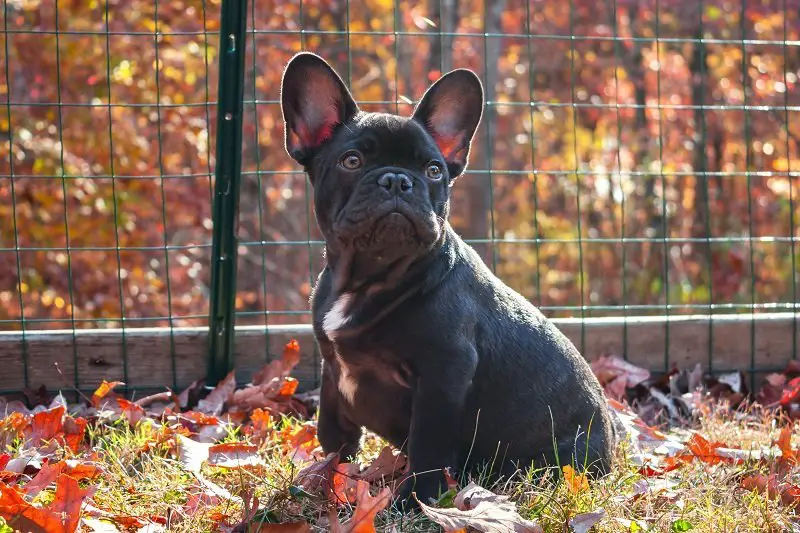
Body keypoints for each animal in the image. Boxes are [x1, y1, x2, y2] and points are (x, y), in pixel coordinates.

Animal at [278, 52, 616, 510]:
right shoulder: (332, 370)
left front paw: (414, 501)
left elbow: (428, 445)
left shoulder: (442, 374)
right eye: (352, 161)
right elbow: (333, 434)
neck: (370, 275)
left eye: (434, 169)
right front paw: (325, 479)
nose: (397, 180)